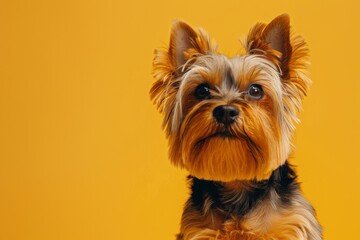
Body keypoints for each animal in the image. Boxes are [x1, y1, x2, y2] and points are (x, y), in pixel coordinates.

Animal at [150, 14, 322, 239]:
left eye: (256, 90)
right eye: (202, 90)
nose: (225, 111)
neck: (237, 184)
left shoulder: (294, 225)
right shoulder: (197, 229)